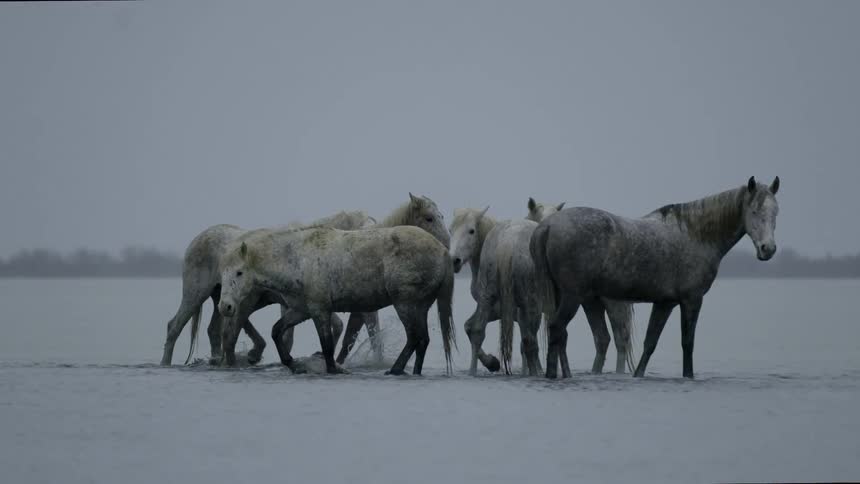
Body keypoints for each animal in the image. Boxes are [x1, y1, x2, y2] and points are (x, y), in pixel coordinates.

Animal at [217, 225, 456, 375]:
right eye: (222, 273)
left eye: (239, 272)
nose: (225, 307)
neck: (297, 260)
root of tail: (443, 251)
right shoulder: (302, 310)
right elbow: (277, 331)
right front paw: (294, 365)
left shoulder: (320, 310)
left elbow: (327, 346)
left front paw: (332, 370)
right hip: (420, 306)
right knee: (422, 340)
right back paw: (413, 371)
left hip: (406, 304)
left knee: (414, 338)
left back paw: (396, 370)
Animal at [531, 176, 780, 379]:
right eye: (754, 211)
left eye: (776, 212)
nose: (768, 249)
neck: (696, 235)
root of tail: (548, 226)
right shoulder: (692, 300)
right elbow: (687, 343)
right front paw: (688, 376)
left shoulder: (664, 303)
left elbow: (650, 343)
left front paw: (638, 375)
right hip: (573, 297)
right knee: (557, 329)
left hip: (576, 298)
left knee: (567, 334)